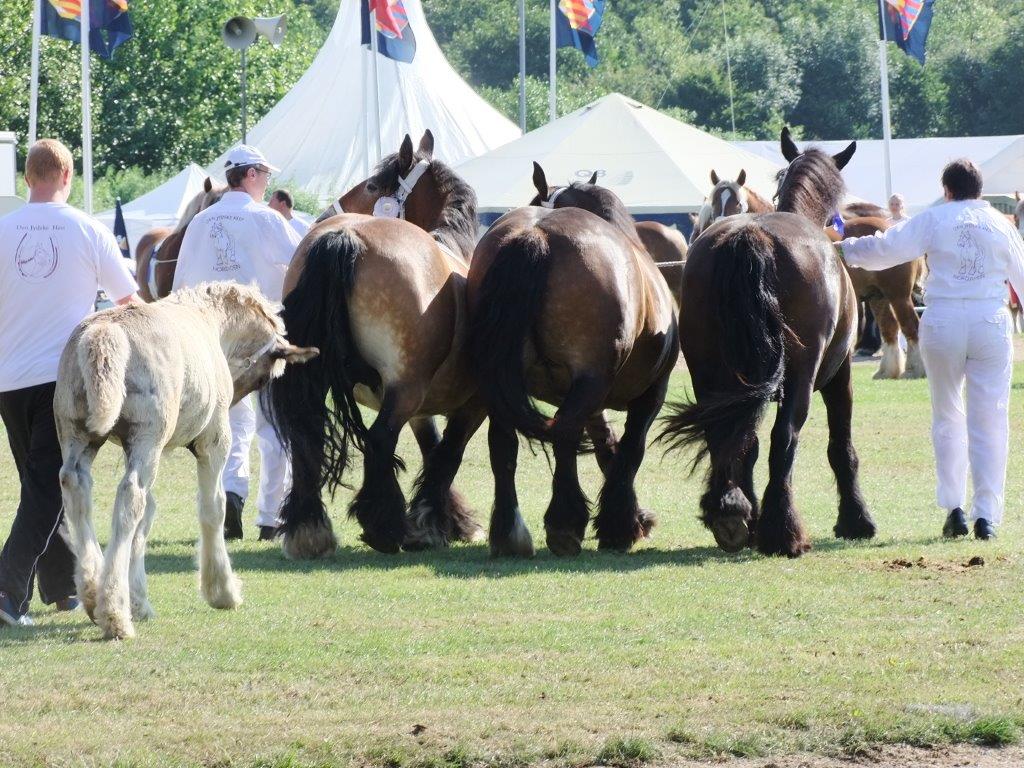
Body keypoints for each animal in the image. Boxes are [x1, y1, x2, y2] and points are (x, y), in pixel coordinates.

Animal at [266, 131, 485, 561]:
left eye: (370, 186)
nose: (317, 215)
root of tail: (345, 235)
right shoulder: (466, 404)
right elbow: (447, 454)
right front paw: (436, 521)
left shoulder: (423, 409)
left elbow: (434, 449)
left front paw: (445, 518)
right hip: (404, 390)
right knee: (381, 440)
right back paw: (384, 526)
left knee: (306, 438)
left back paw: (309, 530)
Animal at [466, 163, 679, 561]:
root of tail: (536, 233)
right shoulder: (649, 395)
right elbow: (630, 450)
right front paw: (621, 525)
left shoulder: (591, 401)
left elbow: (607, 448)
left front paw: (631, 519)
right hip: (590, 382)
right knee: (564, 434)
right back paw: (564, 524)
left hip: (504, 383)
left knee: (503, 442)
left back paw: (509, 533)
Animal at [659, 126, 876, 561]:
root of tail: (748, 236)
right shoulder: (839, 376)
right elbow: (841, 448)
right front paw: (856, 519)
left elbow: (748, 444)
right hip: (800, 376)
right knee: (784, 437)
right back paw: (783, 531)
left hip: (709, 370)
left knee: (728, 435)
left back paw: (730, 513)